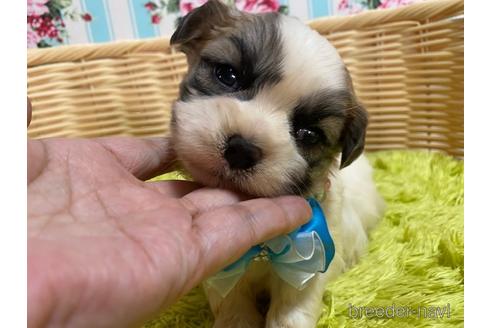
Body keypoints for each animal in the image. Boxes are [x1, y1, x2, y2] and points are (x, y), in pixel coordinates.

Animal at [168, 1, 384, 326]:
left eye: (308, 133)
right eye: (227, 75)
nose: (241, 150)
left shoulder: (311, 261)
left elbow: (292, 309)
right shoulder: (222, 273)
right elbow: (232, 303)